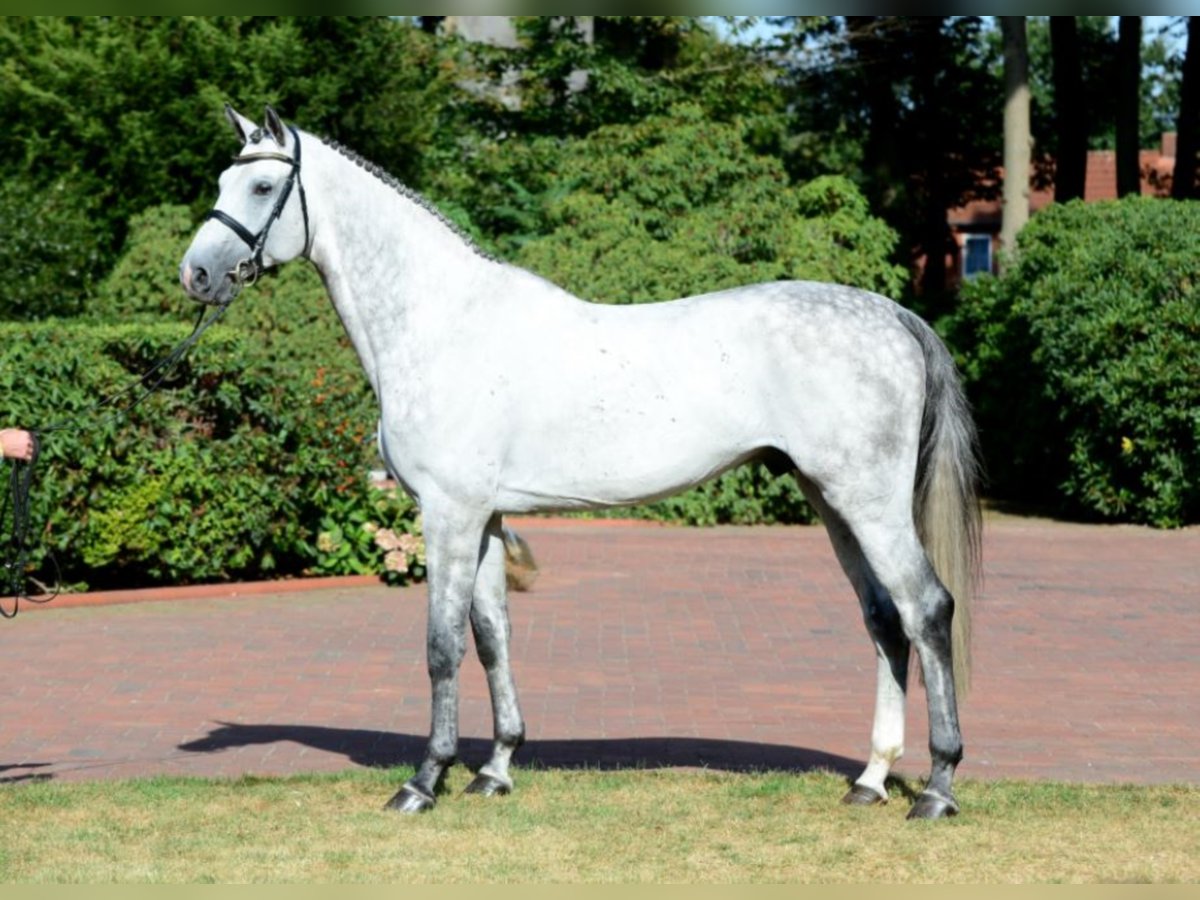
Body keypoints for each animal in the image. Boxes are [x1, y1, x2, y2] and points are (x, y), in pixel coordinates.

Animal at [180, 106, 981, 821]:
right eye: (221, 179)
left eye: (261, 186)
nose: (196, 274)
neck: (442, 322)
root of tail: (895, 316)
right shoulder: (485, 517)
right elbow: (492, 635)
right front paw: (496, 769)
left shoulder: (447, 514)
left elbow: (442, 646)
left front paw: (424, 781)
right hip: (832, 498)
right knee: (884, 619)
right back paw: (871, 780)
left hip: (868, 502)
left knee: (927, 608)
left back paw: (938, 788)